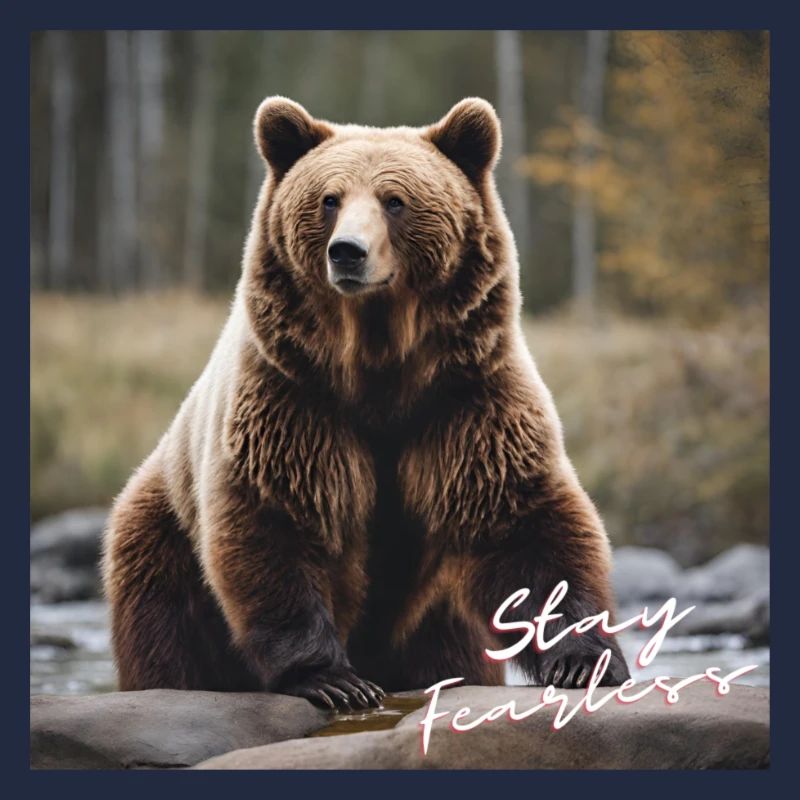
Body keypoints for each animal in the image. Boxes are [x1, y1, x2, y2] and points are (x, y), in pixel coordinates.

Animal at [102, 96, 631, 709]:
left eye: (395, 200)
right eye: (329, 198)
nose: (347, 252)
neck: (379, 364)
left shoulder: (467, 399)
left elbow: (524, 520)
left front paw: (583, 658)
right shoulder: (294, 398)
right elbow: (275, 516)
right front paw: (333, 679)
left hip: (437, 620)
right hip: (163, 541)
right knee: (168, 634)